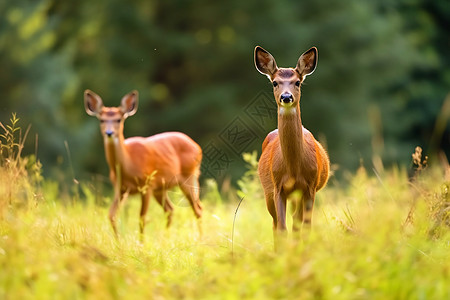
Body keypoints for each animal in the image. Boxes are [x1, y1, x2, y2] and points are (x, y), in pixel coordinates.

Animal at [84, 89, 202, 239]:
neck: (128, 165)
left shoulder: (147, 186)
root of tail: (197, 146)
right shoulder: (120, 188)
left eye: (119, 119)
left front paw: (141, 242)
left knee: (197, 208)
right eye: (101, 120)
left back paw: (200, 238)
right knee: (170, 209)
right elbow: (111, 215)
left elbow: (141, 217)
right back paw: (166, 238)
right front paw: (118, 240)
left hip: (189, 176)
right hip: (161, 188)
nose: (109, 133)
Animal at [253, 45, 330, 241]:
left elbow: (305, 227)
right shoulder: (278, 187)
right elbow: (282, 228)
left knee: (296, 221)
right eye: (275, 83)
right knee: (275, 224)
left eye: (297, 82)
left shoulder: (310, 187)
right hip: (268, 191)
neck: (294, 168)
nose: (286, 97)